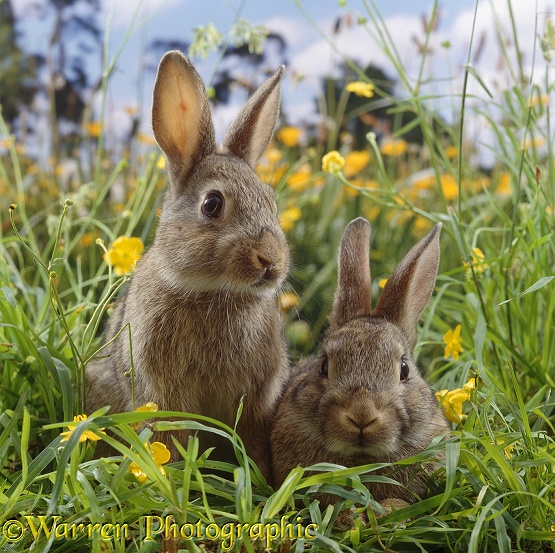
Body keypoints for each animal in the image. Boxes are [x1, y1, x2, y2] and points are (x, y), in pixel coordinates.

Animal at [87, 49, 292, 476]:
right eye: (211, 205)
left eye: (271, 200)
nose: (271, 261)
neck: (212, 294)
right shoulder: (162, 390)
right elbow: (170, 435)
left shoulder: (258, 397)